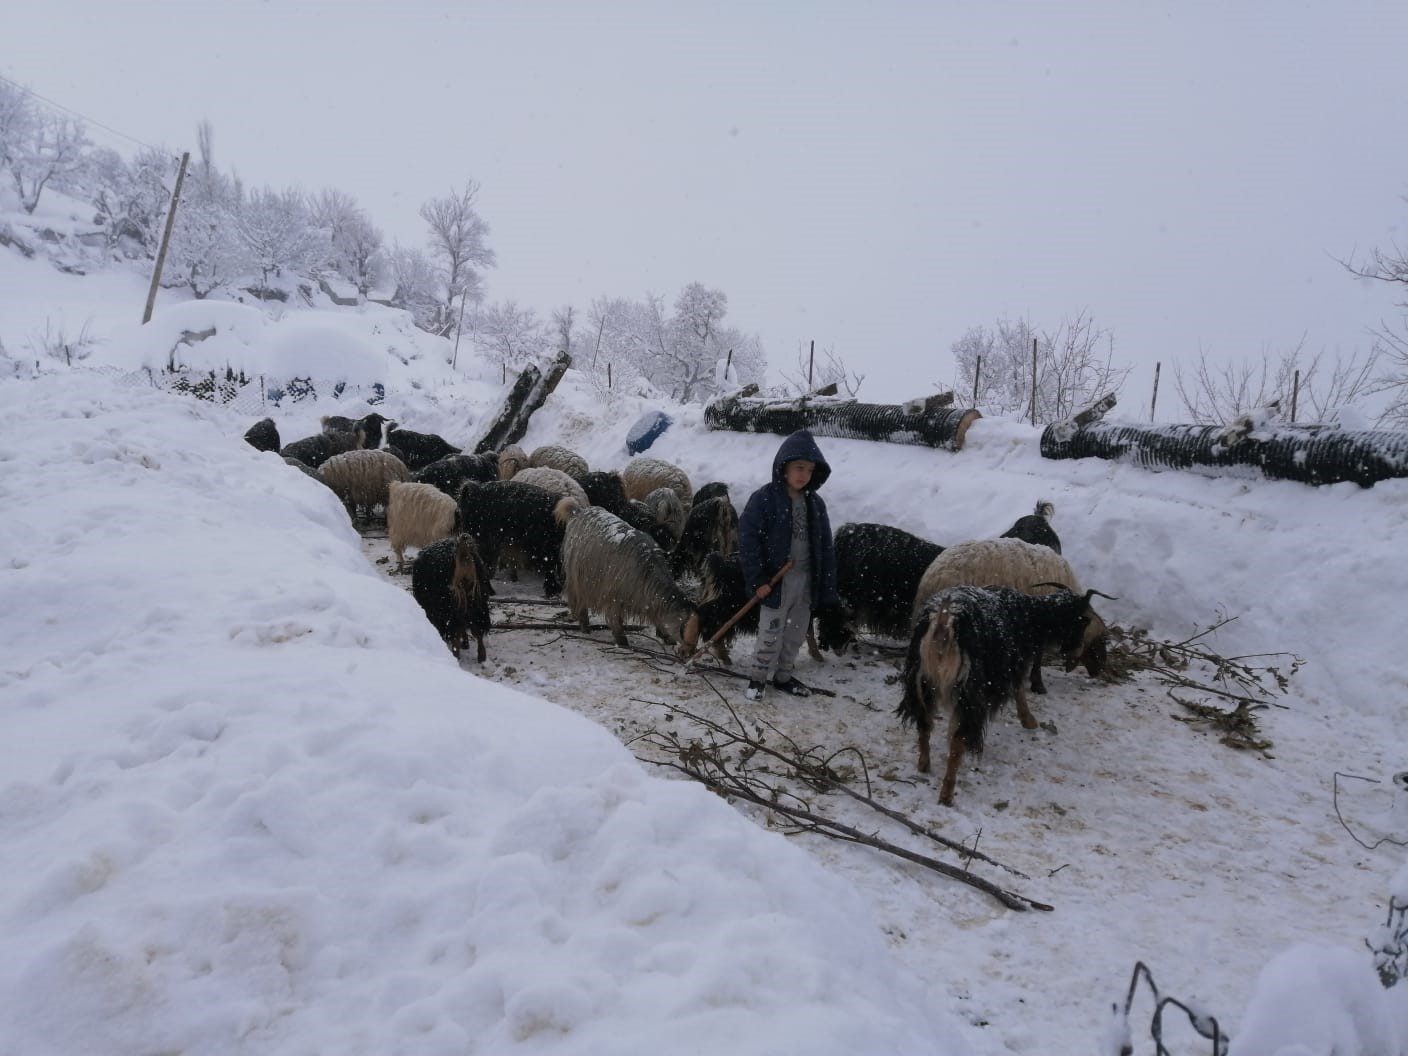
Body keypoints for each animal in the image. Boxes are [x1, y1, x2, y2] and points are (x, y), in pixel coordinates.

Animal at [411, 532, 495, 664]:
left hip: (451, 608)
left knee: (457, 631)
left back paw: (457, 654)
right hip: (477, 604)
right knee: (477, 630)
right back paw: (480, 656)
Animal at [554, 506, 698, 653]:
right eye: (685, 630)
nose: (690, 653)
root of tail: (578, 510)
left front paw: (665, 636)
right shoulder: (613, 594)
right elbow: (615, 618)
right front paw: (622, 641)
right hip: (578, 576)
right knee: (579, 600)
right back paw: (585, 627)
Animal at [901, 582, 1109, 805]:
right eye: (1083, 621)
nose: (1076, 650)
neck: (1030, 615)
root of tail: (943, 619)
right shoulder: (1013, 663)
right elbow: (1018, 689)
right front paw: (1029, 720)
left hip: (921, 683)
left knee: (924, 724)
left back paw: (924, 765)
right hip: (969, 691)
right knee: (957, 741)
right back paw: (946, 794)